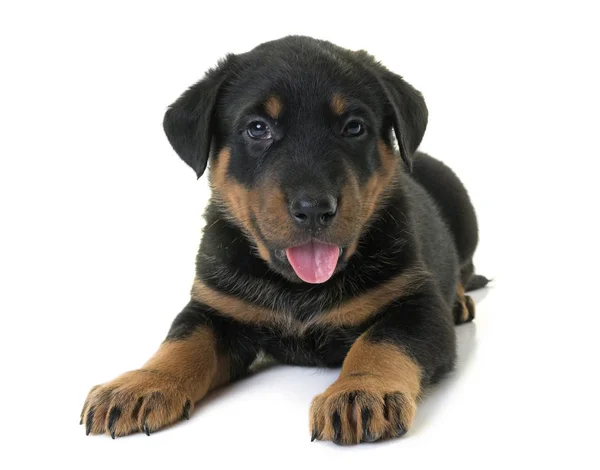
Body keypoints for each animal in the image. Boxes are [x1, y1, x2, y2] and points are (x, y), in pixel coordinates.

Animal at [79, 36, 488, 444]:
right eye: (257, 128)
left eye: (354, 127)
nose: (314, 207)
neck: (298, 288)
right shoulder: (215, 307)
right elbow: (182, 341)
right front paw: (141, 384)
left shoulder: (415, 303)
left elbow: (381, 341)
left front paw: (360, 390)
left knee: (463, 268)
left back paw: (459, 301)